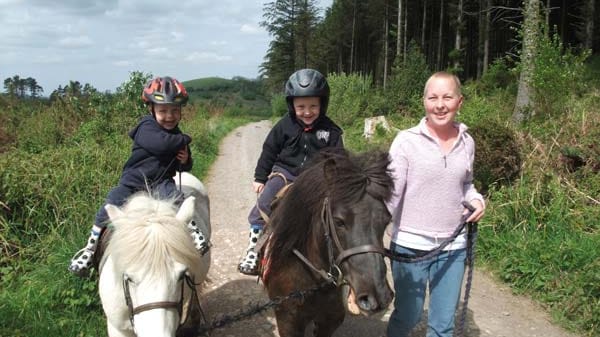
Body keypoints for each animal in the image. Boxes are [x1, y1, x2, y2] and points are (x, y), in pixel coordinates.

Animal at [262, 149, 394, 336]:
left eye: (387, 220)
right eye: (339, 221)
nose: (379, 296)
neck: (313, 281)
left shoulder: (330, 320)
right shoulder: (288, 322)